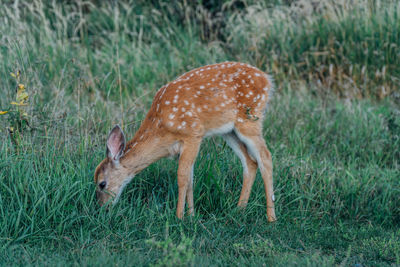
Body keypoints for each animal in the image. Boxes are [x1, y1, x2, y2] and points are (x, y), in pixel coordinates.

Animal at [94, 61, 276, 223]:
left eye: (102, 184)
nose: (102, 209)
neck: (161, 126)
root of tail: (267, 79)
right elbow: (190, 179)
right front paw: (192, 215)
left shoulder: (193, 134)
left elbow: (182, 177)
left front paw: (179, 217)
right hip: (229, 132)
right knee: (250, 162)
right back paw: (239, 210)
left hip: (249, 119)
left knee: (265, 157)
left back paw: (271, 218)